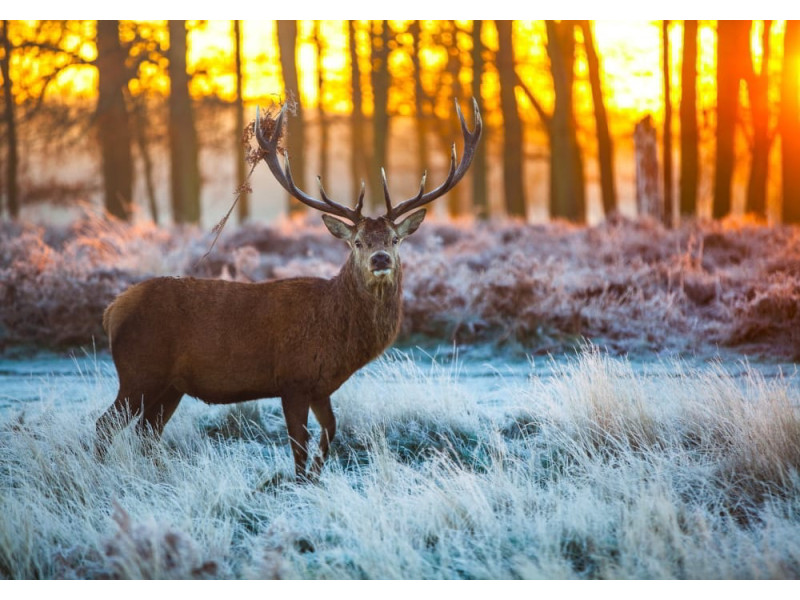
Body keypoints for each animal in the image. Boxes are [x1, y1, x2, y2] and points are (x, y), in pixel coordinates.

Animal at [95, 98, 482, 482]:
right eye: (357, 242)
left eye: (394, 239)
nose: (381, 259)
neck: (341, 340)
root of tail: (111, 311)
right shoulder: (293, 379)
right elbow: (299, 444)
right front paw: (299, 481)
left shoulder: (320, 386)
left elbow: (330, 431)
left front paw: (316, 477)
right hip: (139, 371)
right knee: (106, 425)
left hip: (170, 386)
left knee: (147, 432)